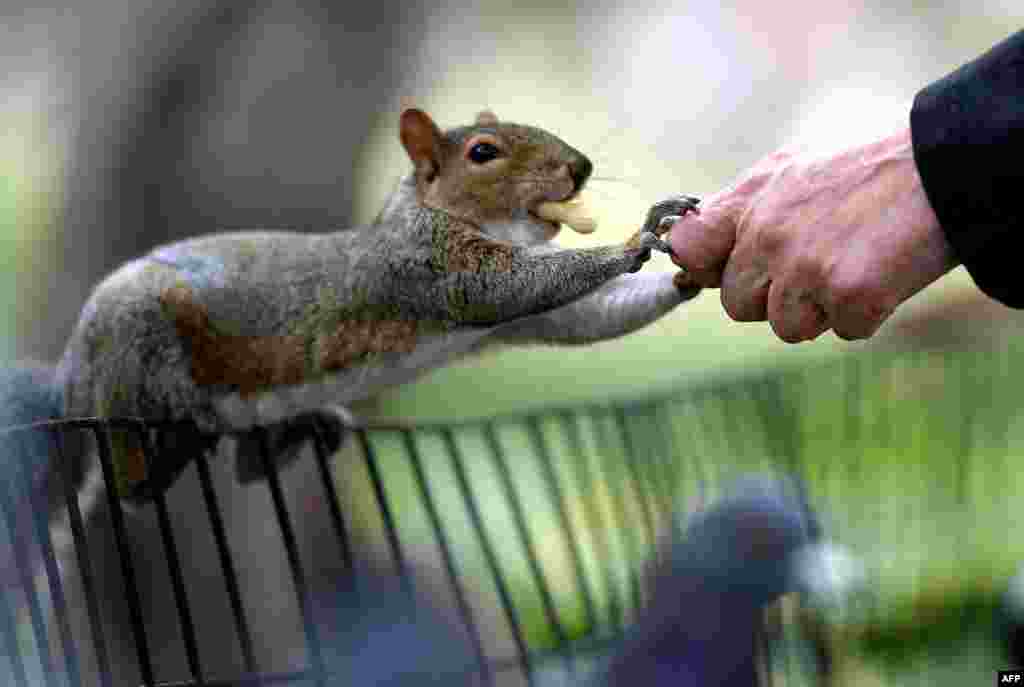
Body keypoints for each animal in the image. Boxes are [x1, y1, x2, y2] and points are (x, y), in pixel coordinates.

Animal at [2, 108, 699, 575]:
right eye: (483, 152)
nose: (580, 167)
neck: (435, 213)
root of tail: (71, 380)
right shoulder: (429, 268)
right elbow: (506, 284)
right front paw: (634, 241)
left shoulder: (523, 319)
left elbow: (586, 316)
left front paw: (683, 271)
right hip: (134, 349)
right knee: (129, 479)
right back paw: (173, 436)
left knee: (241, 463)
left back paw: (300, 429)